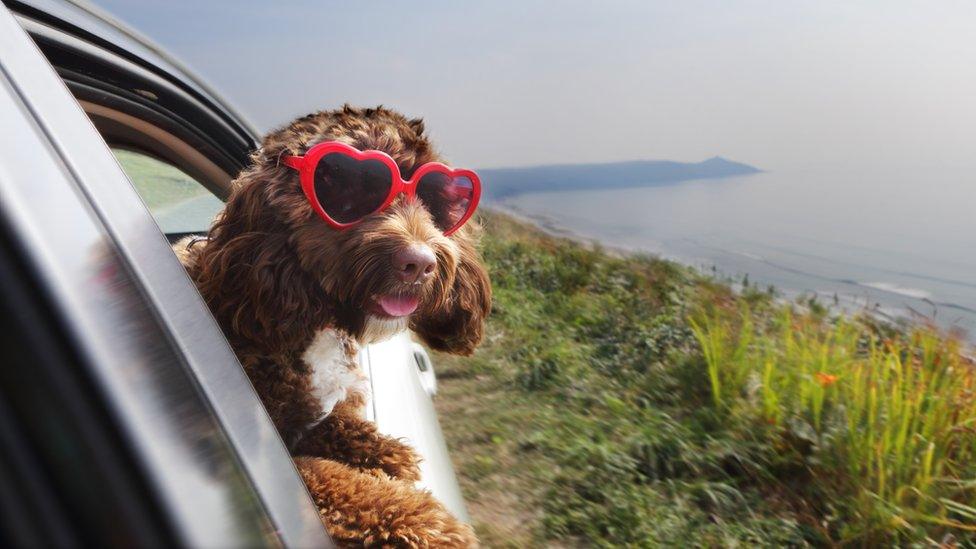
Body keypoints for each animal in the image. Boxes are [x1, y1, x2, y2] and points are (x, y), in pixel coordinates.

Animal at [175, 105, 492, 544]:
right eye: (349, 192)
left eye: (436, 199)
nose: (420, 263)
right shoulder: (279, 454)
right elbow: (335, 481)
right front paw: (425, 522)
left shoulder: (318, 413)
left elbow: (342, 426)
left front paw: (387, 453)